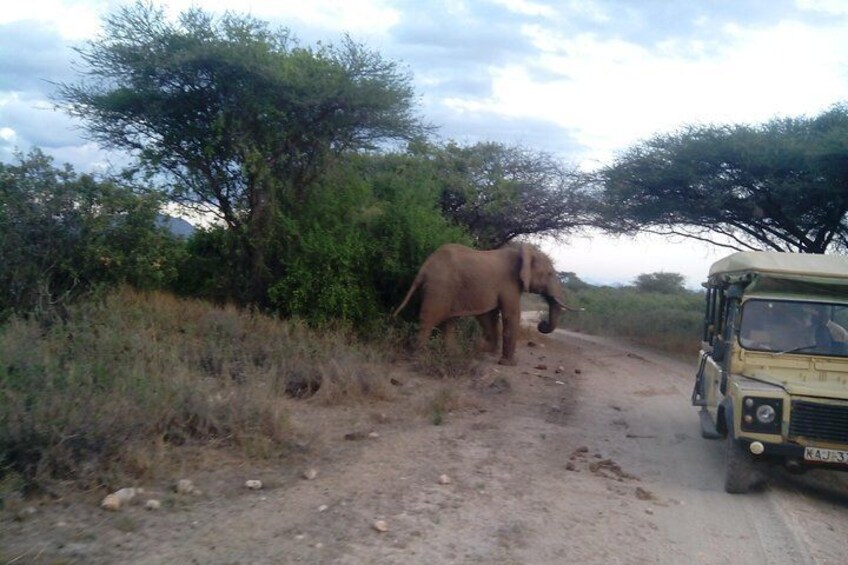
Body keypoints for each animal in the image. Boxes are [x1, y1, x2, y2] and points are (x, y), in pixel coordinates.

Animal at [394, 242, 572, 366]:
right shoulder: (509, 284)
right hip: (440, 286)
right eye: (549, 274)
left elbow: (488, 316)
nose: (542, 324)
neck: (523, 253)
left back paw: (453, 354)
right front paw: (508, 364)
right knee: (430, 318)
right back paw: (419, 358)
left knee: (449, 321)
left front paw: (483, 350)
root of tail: (425, 266)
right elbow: (510, 315)